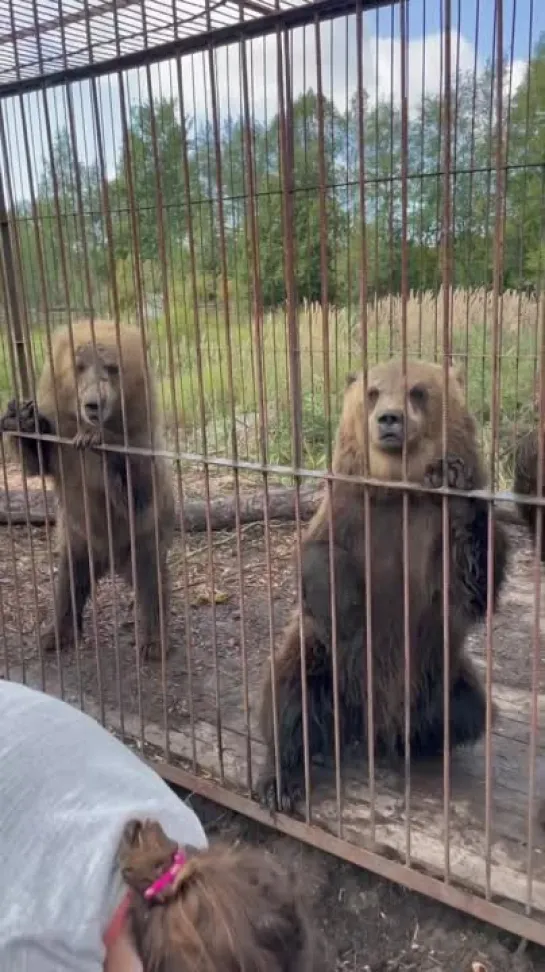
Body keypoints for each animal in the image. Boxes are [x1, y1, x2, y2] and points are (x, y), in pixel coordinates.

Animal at [0, 318, 174, 660]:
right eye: (78, 366)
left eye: (112, 367)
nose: (94, 404)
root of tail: (112, 561)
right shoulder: (62, 445)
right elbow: (36, 460)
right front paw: (22, 417)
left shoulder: (142, 445)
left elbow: (136, 489)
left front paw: (98, 438)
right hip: (77, 540)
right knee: (69, 583)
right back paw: (55, 634)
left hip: (142, 539)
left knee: (151, 582)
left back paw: (153, 641)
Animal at [258, 356, 508, 812]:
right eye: (373, 391)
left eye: (418, 391)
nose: (389, 418)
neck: (395, 490)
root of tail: (368, 727)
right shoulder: (349, 511)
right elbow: (317, 557)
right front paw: (351, 611)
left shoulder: (430, 537)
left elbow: (474, 584)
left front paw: (454, 484)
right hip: (323, 662)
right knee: (290, 694)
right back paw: (283, 781)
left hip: (438, 670)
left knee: (468, 708)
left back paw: (418, 743)